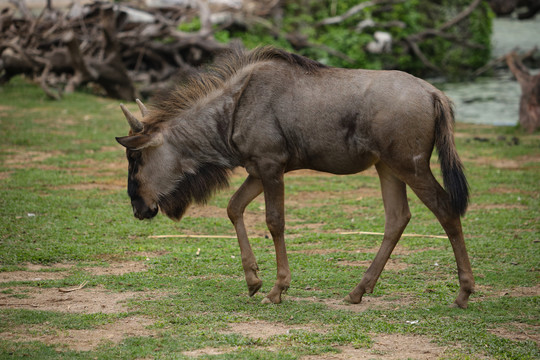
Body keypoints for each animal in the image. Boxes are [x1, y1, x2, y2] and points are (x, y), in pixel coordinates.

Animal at [116, 46, 474, 308]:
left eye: (135, 158)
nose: (138, 208)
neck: (231, 111)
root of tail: (434, 94)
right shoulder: (257, 170)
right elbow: (234, 207)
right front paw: (253, 280)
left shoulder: (271, 167)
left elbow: (274, 221)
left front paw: (277, 289)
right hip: (387, 167)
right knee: (397, 218)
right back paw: (358, 290)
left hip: (411, 166)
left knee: (445, 209)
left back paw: (463, 293)